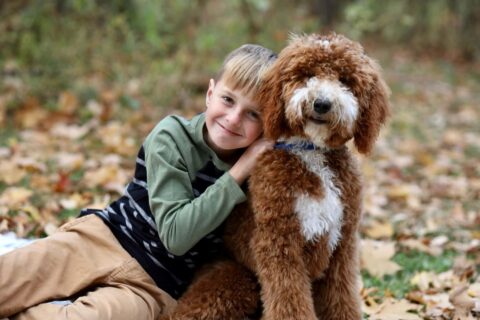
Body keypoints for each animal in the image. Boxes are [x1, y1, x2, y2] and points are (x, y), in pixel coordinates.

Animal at [164, 33, 390, 320]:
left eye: (344, 80)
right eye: (306, 74)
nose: (322, 103)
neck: (311, 151)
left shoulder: (342, 246)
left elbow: (342, 300)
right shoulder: (279, 243)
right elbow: (289, 301)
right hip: (234, 282)